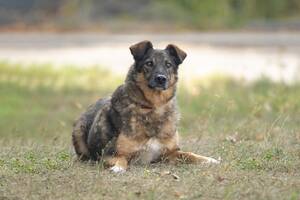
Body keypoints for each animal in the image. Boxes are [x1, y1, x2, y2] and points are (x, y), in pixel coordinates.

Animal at [71, 40, 219, 172]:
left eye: (168, 64)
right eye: (149, 63)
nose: (161, 79)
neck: (154, 107)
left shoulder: (170, 153)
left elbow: (189, 154)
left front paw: (209, 160)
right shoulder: (110, 154)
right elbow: (121, 160)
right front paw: (118, 168)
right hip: (79, 130)